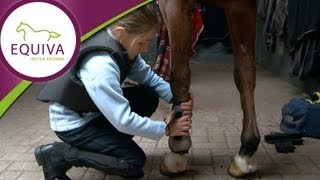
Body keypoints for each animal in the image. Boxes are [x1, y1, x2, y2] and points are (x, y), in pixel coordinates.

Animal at [158, 0, 260, 178]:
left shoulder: (173, 4)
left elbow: (178, 74)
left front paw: (178, 147)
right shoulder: (242, 6)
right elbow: (245, 72)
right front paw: (246, 153)